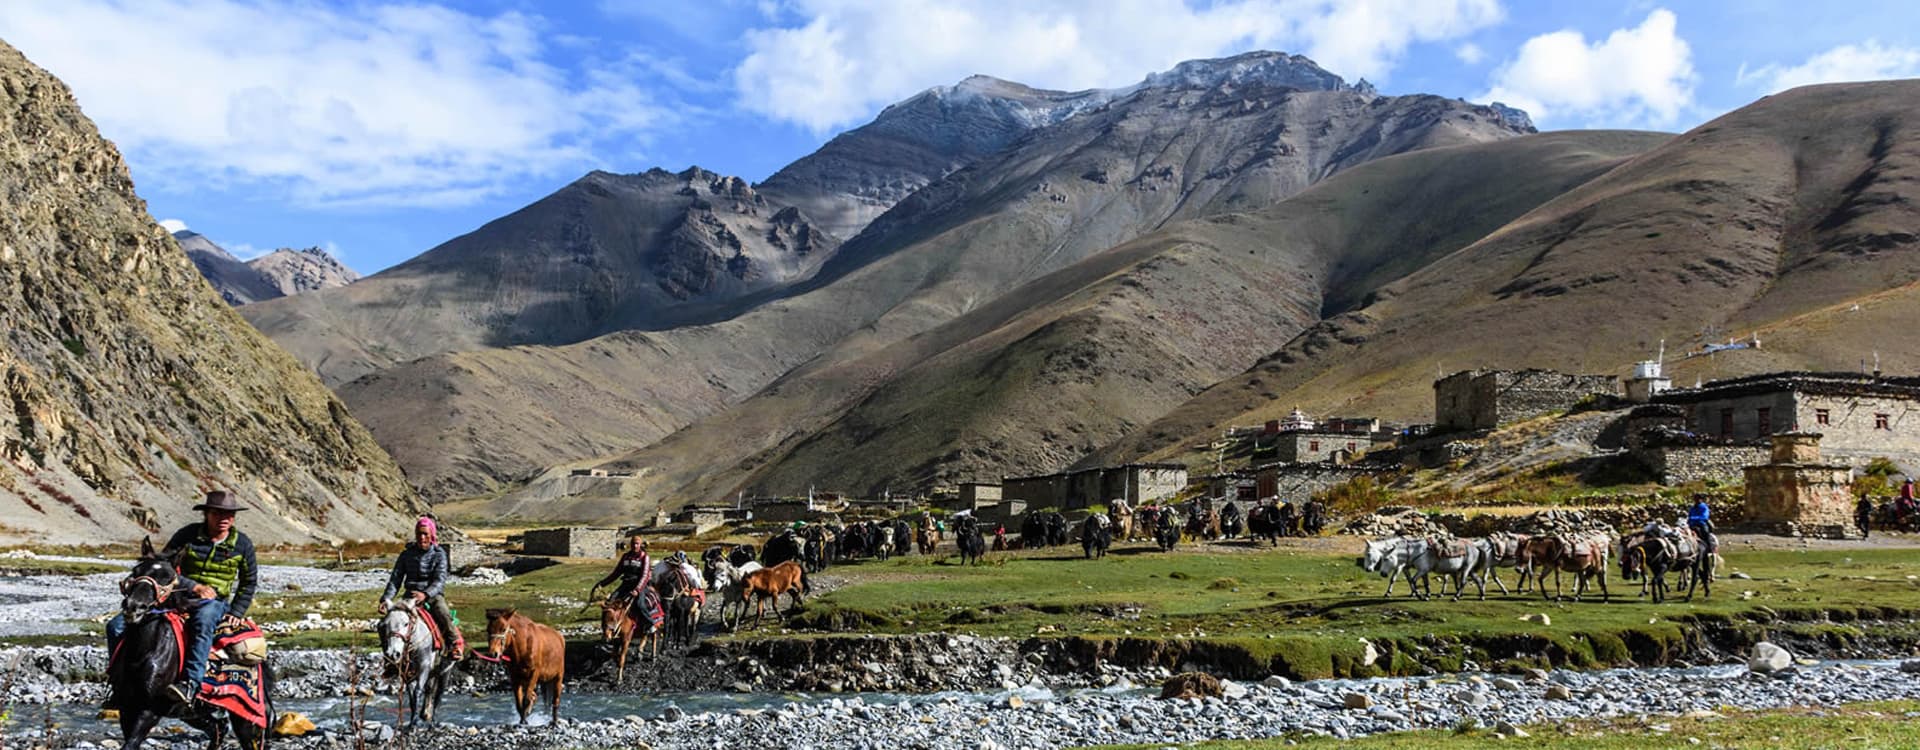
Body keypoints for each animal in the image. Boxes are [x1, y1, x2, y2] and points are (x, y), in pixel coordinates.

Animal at [376, 598, 451, 728]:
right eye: (384, 625)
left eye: (406, 623)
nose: (393, 654)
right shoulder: (407, 673)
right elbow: (411, 696)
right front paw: (412, 720)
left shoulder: (424, 667)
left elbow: (417, 691)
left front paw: (416, 722)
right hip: (432, 673)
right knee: (430, 689)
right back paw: (425, 714)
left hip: (445, 671)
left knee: (439, 693)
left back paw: (433, 721)